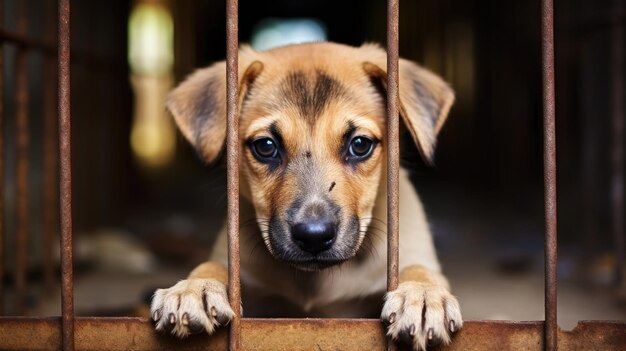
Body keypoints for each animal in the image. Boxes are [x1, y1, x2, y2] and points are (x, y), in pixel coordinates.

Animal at [151, 42, 460, 350]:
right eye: (266, 146)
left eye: (360, 144)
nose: (314, 237)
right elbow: (215, 265)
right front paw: (195, 287)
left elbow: (419, 268)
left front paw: (422, 295)